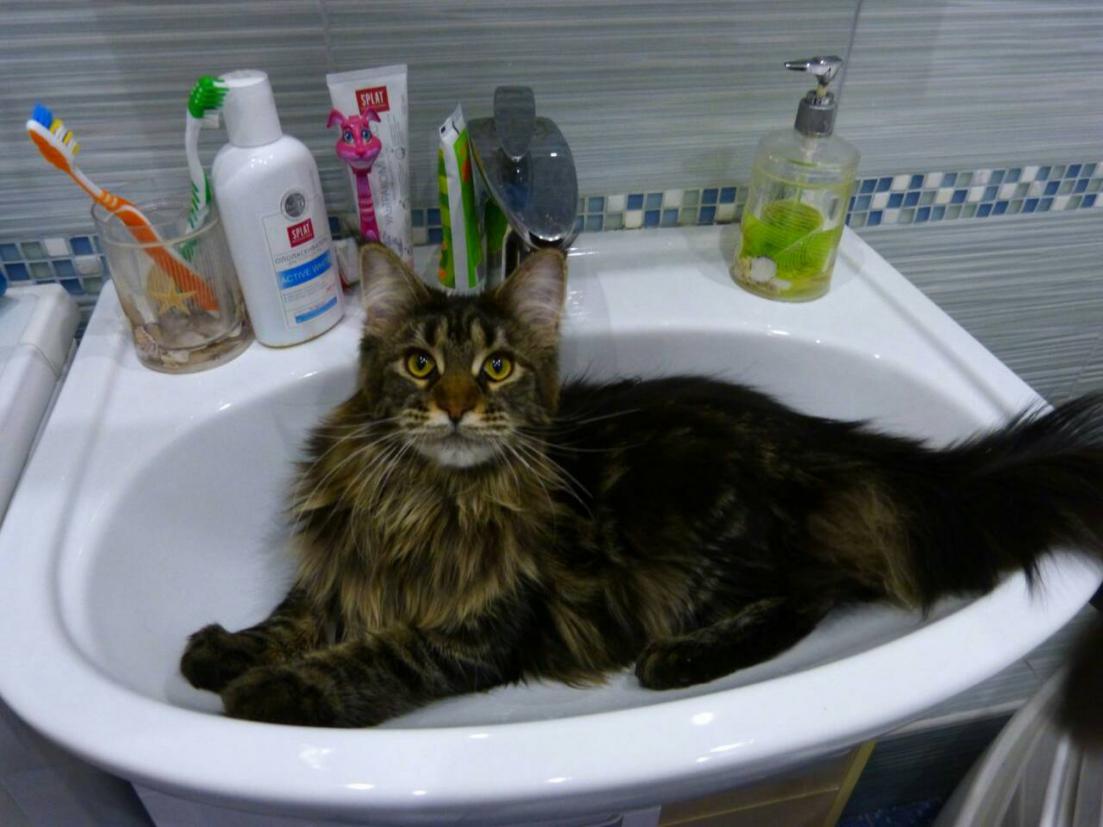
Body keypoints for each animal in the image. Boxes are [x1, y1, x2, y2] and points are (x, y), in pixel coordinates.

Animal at [180, 243, 1103, 728]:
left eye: (496, 366)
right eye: (418, 364)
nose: (454, 407)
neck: (426, 498)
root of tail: (811, 439)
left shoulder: (474, 634)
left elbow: (371, 660)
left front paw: (267, 690)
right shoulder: (346, 564)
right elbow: (293, 613)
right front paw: (222, 651)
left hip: (696, 544)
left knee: (815, 591)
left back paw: (678, 658)